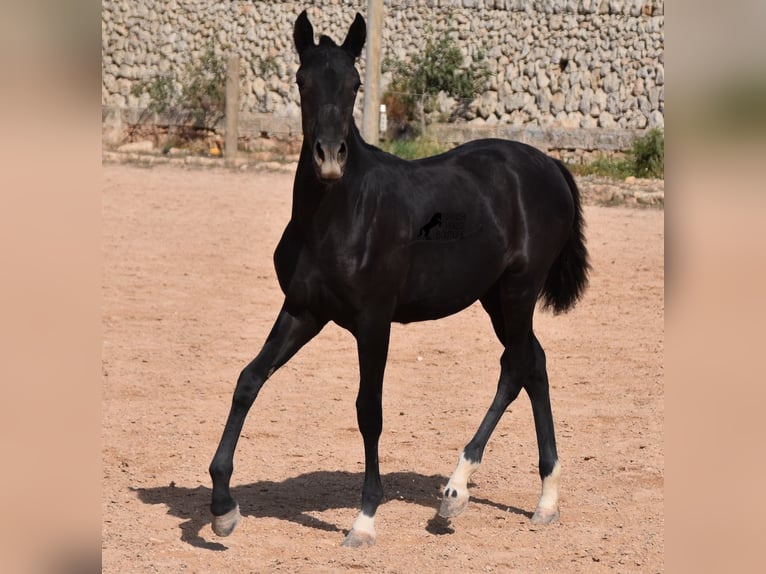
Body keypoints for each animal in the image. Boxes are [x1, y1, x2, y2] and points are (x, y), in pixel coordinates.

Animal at [207, 9, 592, 548]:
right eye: (303, 81)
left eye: (355, 83)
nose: (330, 158)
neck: (337, 216)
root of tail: (551, 164)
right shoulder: (303, 311)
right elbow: (249, 379)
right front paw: (223, 507)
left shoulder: (374, 322)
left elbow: (369, 410)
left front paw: (365, 520)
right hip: (495, 297)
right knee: (532, 364)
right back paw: (536, 499)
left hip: (519, 291)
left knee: (517, 365)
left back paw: (461, 490)